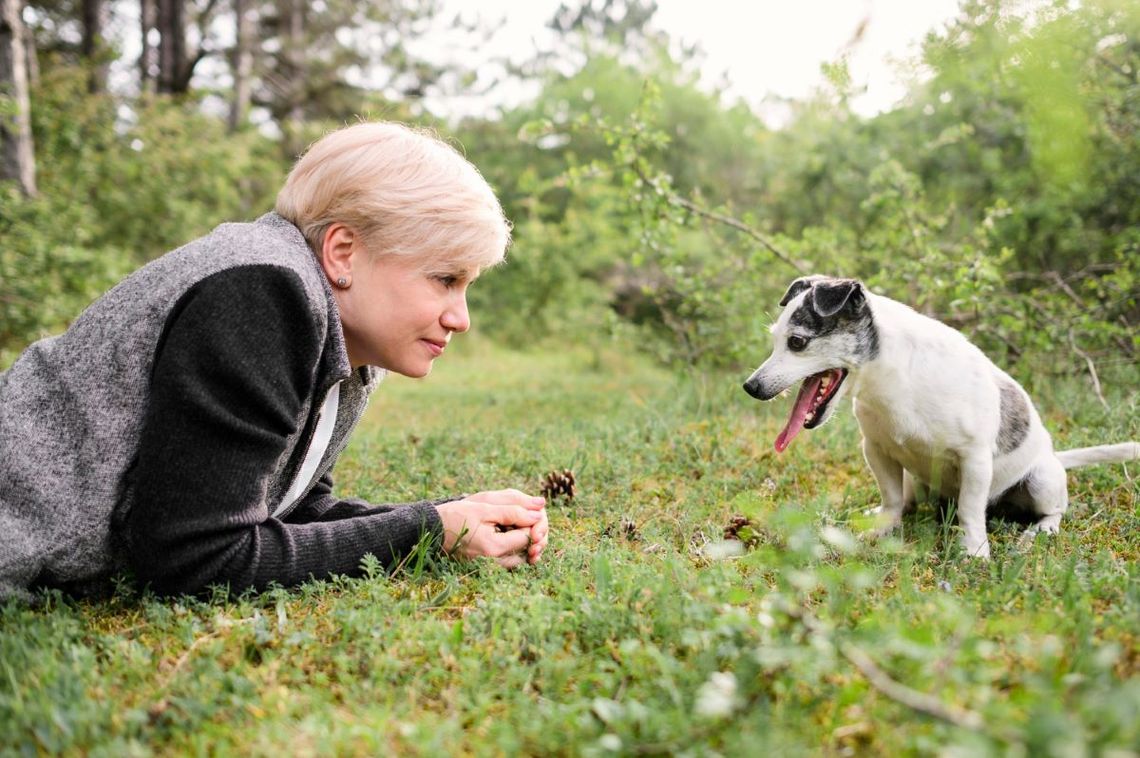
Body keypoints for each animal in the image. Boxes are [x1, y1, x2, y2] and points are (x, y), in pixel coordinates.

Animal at [743, 274, 1135, 558]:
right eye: (774, 339)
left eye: (797, 342)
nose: (751, 386)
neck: (893, 380)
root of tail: (1054, 457)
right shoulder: (876, 450)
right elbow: (891, 498)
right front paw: (882, 526)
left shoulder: (974, 460)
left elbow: (970, 510)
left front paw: (974, 551)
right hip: (915, 479)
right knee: (908, 498)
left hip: (1040, 480)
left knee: (1053, 509)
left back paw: (1042, 529)